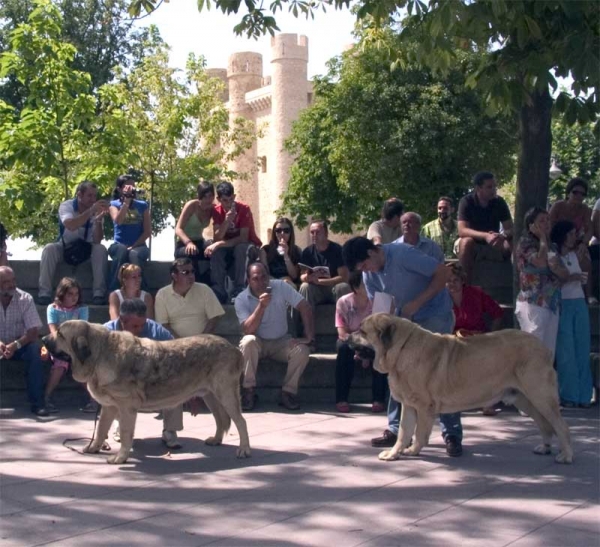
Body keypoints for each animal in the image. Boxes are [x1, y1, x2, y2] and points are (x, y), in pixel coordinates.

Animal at [43, 318, 251, 464]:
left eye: (60, 334)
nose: (44, 338)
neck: (100, 353)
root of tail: (234, 348)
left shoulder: (126, 408)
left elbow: (126, 433)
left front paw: (120, 458)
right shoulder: (109, 407)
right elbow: (101, 429)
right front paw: (93, 447)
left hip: (226, 394)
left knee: (240, 421)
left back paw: (244, 449)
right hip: (211, 396)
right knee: (220, 419)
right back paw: (216, 440)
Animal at [350, 314, 576, 464]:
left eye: (362, 332)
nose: (346, 336)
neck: (401, 349)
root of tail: (544, 347)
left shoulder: (423, 406)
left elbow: (420, 432)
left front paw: (413, 450)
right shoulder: (409, 405)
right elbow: (404, 432)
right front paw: (394, 453)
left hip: (540, 396)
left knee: (560, 425)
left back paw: (566, 455)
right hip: (524, 399)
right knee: (545, 424)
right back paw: (545, 447)